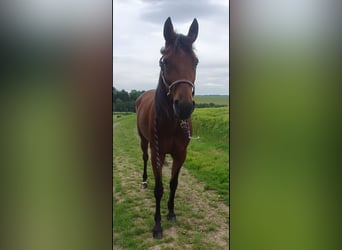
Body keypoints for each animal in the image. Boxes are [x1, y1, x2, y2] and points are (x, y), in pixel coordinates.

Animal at [136, 16, 199, 239]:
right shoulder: (157, 151)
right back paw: (144, 180)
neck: (171, 122)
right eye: (166, 61)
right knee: (144, 158)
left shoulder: (181, 154)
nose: (185, 107)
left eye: (195, 61)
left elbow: (173, 183)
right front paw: (157, 225)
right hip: (144, 141)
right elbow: (159, 188)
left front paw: (171, 212)